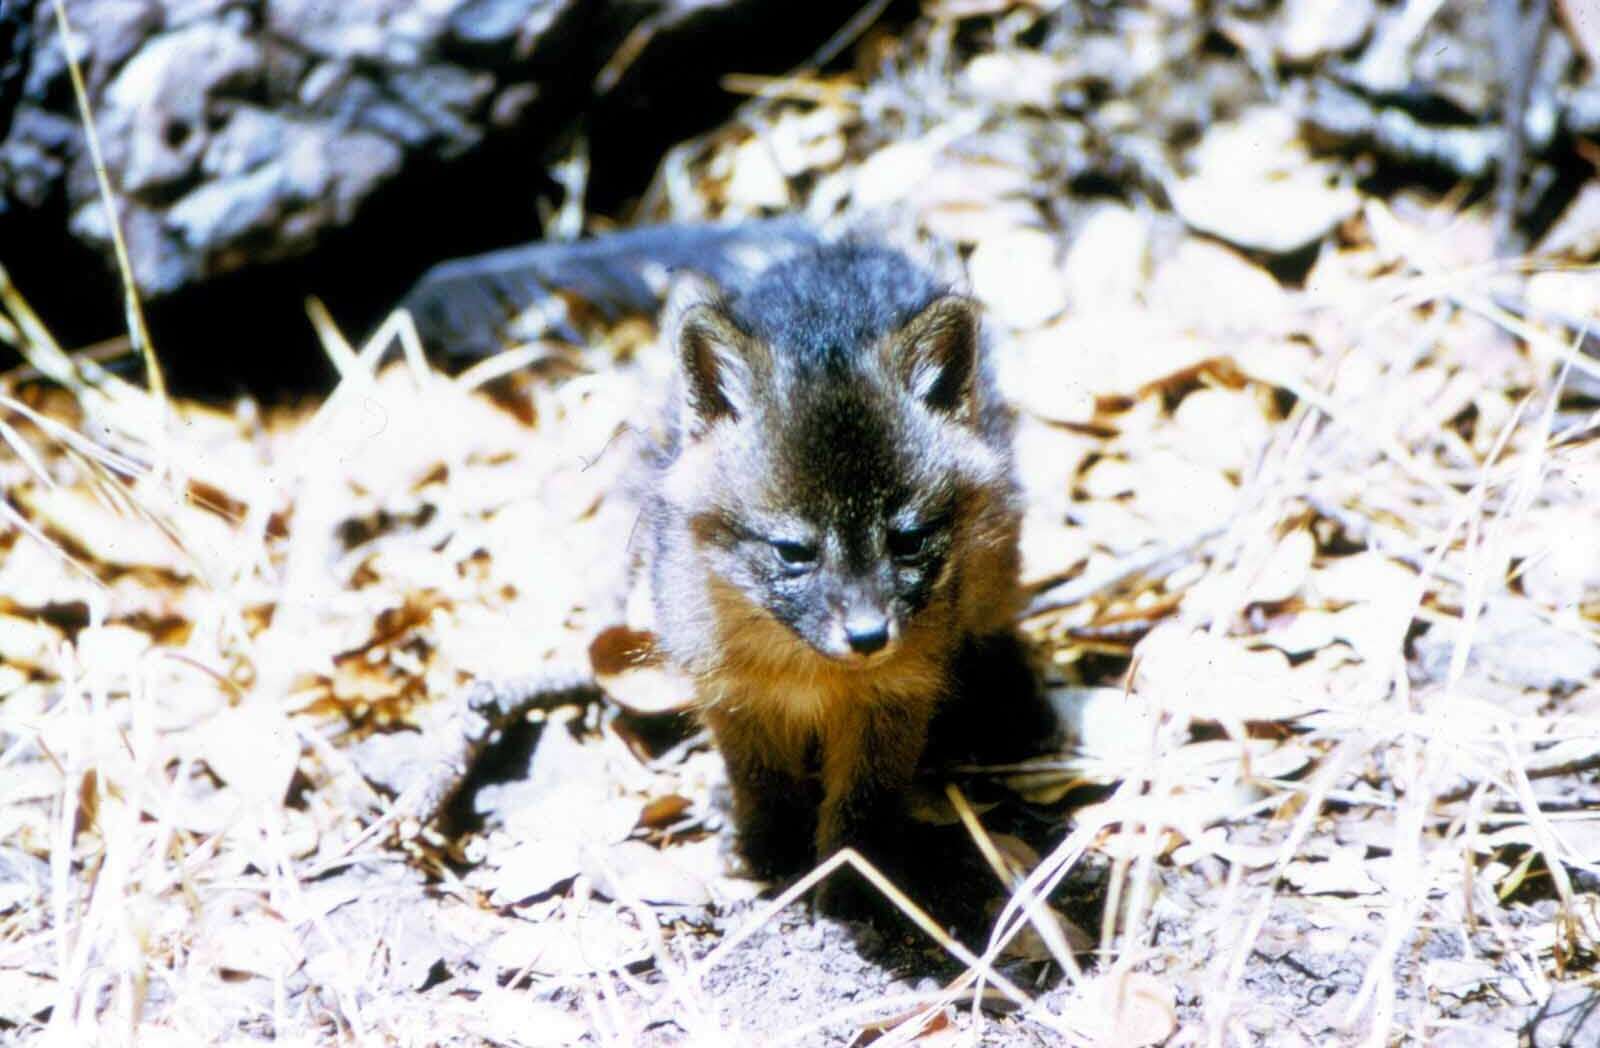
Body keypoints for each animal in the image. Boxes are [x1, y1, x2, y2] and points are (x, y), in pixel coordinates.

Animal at [643, 240, 1043, 908]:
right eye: (793, 551)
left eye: (907, 542)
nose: (868, 637)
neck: (808, 670)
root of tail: (842, 248)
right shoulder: (735, 695)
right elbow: (760, 780)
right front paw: (770, 849)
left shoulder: (896, 697)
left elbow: (864, 801)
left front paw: (855, 879)